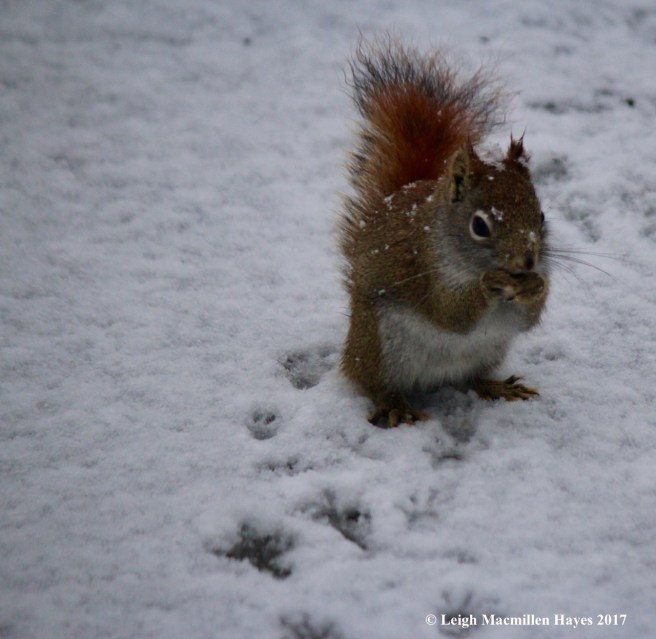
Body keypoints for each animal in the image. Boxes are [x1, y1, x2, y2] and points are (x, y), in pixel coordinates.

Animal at [338, 38, 550, 427]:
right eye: (479, 225)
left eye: (541, 216)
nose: (527, 262)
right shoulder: (424, 267)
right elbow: (450, 313)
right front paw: (490, 283)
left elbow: (528, 319)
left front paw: (537, 286)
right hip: (380, 345)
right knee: (373, 383)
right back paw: (396, 405)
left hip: (489, 350)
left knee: (469, 378)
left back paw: (496, 386)